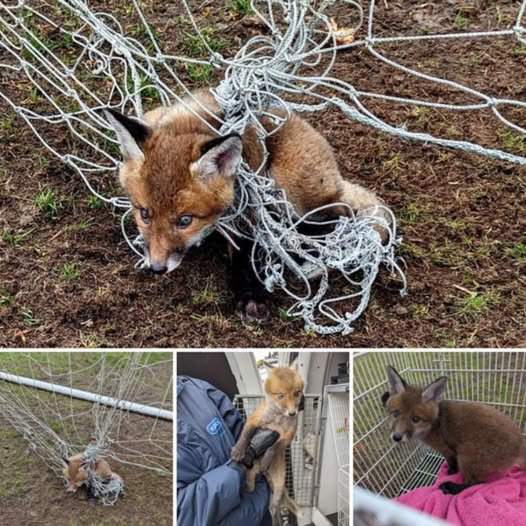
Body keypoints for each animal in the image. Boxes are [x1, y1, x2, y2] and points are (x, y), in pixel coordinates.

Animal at [382, 370, 526, 498]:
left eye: (416, 419)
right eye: (395, 413)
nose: (396, 437)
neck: (435, 424)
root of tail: (520, 443)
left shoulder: (448, 451)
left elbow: (452, 463)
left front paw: (451, 472)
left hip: (466, 457)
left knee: (477, 484)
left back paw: (451, 487)